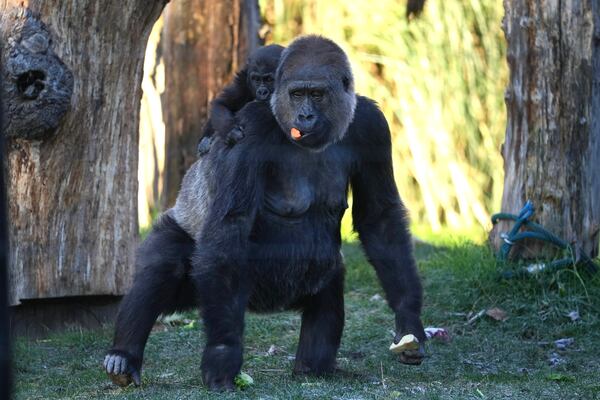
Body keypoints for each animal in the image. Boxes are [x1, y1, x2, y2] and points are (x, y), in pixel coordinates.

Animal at [106, 35, 426, 390]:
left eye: (317, 94)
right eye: (297, 94)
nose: (305, 117)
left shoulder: (373, 128)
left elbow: (379, 219)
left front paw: (408, 319)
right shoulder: (251, 125)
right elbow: (230, 223)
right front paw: (223, 353)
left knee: (328, 288)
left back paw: (314, 367)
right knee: (165, 266)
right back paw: (124, 354)